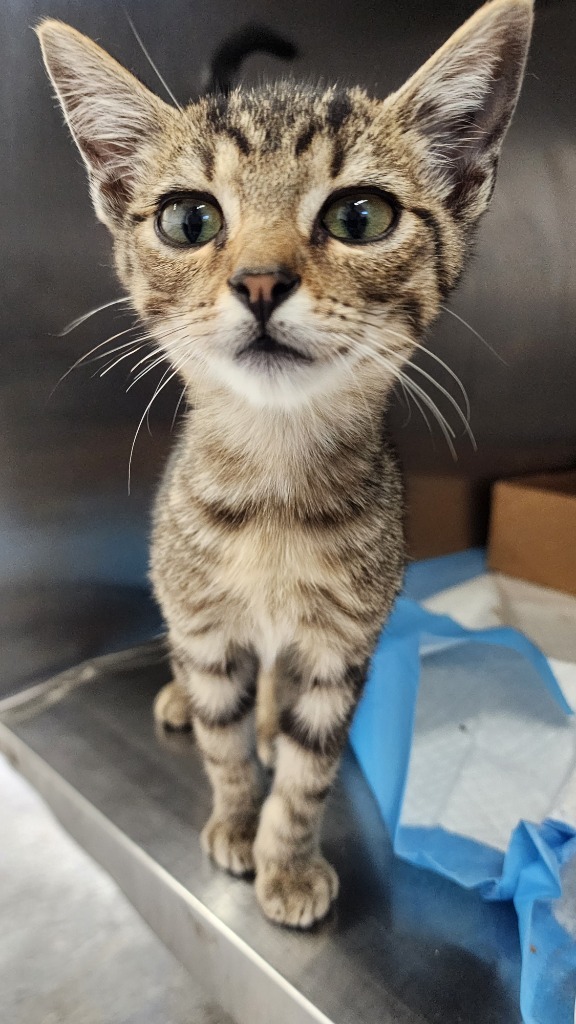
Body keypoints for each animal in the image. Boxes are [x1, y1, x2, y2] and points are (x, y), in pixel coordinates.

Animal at [38, 0, 532, 929]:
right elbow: (222, 745)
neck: (273, 488)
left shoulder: (342, 649)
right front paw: (236, 819)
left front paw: (288, 858)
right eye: (188, 221)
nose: (261, 282)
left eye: (360, 217)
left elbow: (308, 774)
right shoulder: (206, 627)